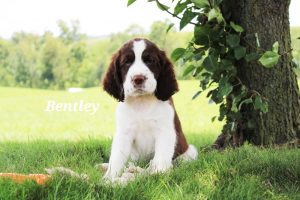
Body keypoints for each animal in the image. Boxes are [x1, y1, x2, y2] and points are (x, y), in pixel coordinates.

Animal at [102, 38, 198, 180]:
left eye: (150, 61)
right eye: (127, 62)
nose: (138, 79)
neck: (142, 102)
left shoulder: (165, 131)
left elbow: (161, 158)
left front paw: (158, 175)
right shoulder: (124, 133)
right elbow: (117, 157)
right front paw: (109, 178)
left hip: (190, 151)